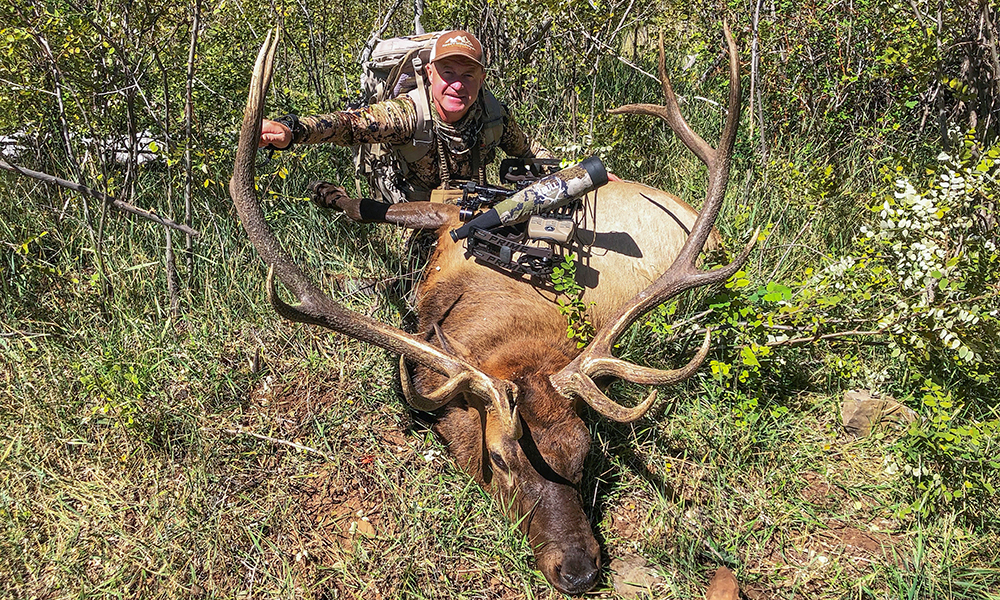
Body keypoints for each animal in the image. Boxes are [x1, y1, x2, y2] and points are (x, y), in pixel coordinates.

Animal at [232, 24, 752, 596]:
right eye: (500, 458)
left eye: (585, 452)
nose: (580, 570)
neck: (508, 321)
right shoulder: (446, 224)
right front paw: (325, 188)